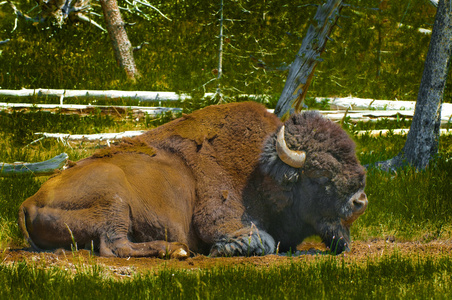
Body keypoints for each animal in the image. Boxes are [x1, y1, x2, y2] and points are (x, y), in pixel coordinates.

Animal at [19, 101, 370, 258]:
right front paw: (225, 250)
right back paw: (177, 250)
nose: (360, 201)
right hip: (113, 200)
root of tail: (28, 201)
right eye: (320, 173)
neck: (261, 174)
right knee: (113, 246)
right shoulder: (221, 220)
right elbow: (262, 242)